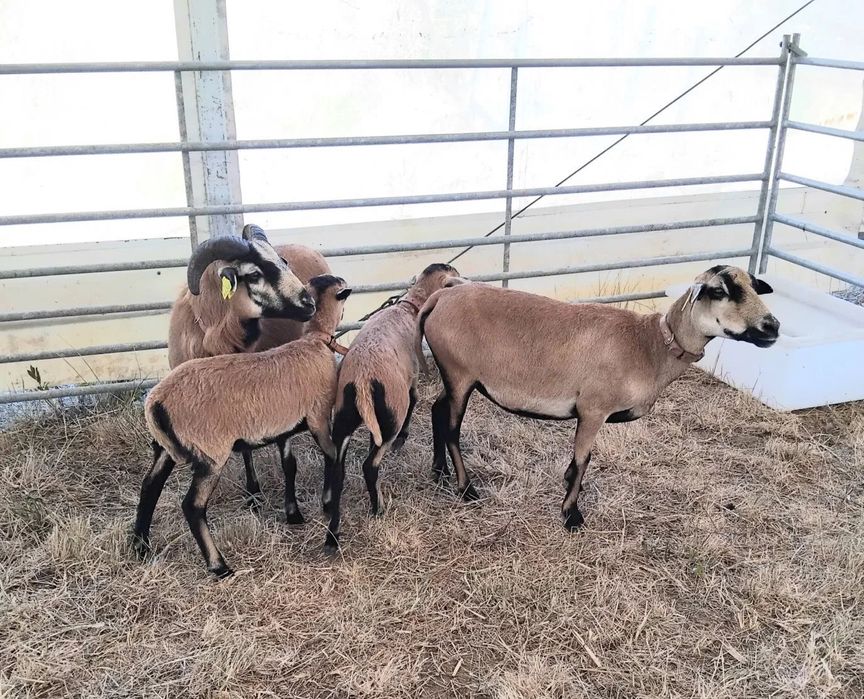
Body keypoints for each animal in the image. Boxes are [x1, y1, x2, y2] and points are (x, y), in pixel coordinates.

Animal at [133, 274, 352, 577]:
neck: (314, 342)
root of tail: (155, 402)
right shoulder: (318, 417)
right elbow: (332, 458)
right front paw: (329, 505)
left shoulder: (283, 428)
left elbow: (290, 465)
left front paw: (294, 514)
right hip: (211, 453)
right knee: (192, 505)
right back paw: (219, 565)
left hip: (167, 448)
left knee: (149, 486)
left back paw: (140, 547)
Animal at [324, 263, 463, 550]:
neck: (408, 307)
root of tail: (362, 380)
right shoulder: (411, 380)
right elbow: (416, 400)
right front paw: (404, 439)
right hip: (391, 416)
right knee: (370, 465)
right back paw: (378, 509)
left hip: (344, 418)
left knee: (338, 472)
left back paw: (332, 536)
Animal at [416, 265, 780, 529]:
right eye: (719, 290)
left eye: (753, 286)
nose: (772, 327)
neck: (651, 346)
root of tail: (439, 299)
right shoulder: (593, 408)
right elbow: (583, 460)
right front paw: (571, 513)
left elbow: (578, 461)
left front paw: (566, 486)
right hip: (460, 374)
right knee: (452, 428)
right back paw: (466, 489)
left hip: (455, 377)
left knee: (436, 410)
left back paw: (438, 471)